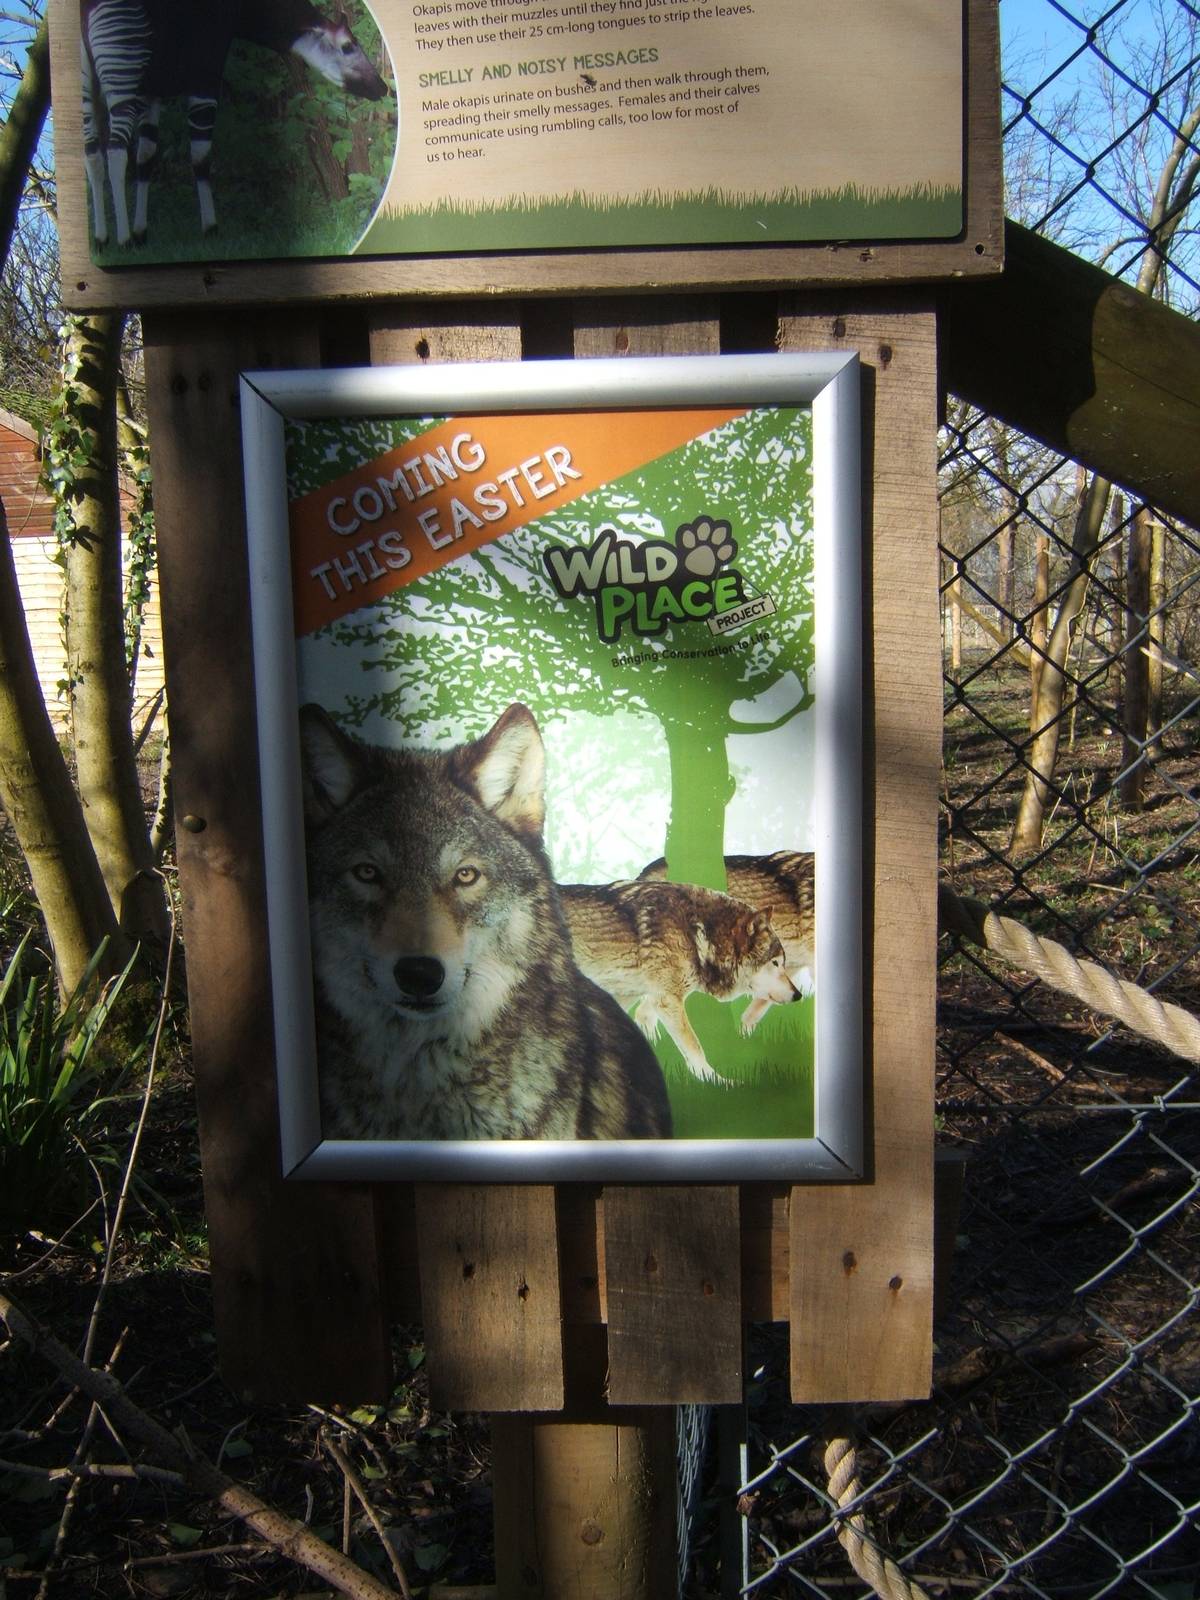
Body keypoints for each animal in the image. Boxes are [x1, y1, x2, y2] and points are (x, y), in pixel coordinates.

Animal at [559, 879, 800, 1083]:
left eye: (782, 963)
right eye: (776, 963)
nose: (798, 995)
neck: (698, 932)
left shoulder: (632, 998)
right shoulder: (667, 1000)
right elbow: (695, 1047)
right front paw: (718, 1083)